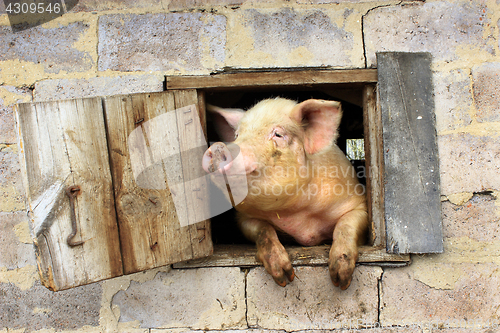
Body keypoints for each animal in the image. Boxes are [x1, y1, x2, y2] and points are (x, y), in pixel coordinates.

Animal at [201, 96, 370, 288]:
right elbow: (263, 230)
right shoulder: (244, 218)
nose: (218, 147)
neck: (299, 218)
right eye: (237, 135)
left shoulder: (358, 203)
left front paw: (340, 279)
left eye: (278, 134)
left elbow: (346, 226)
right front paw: (285, 278)